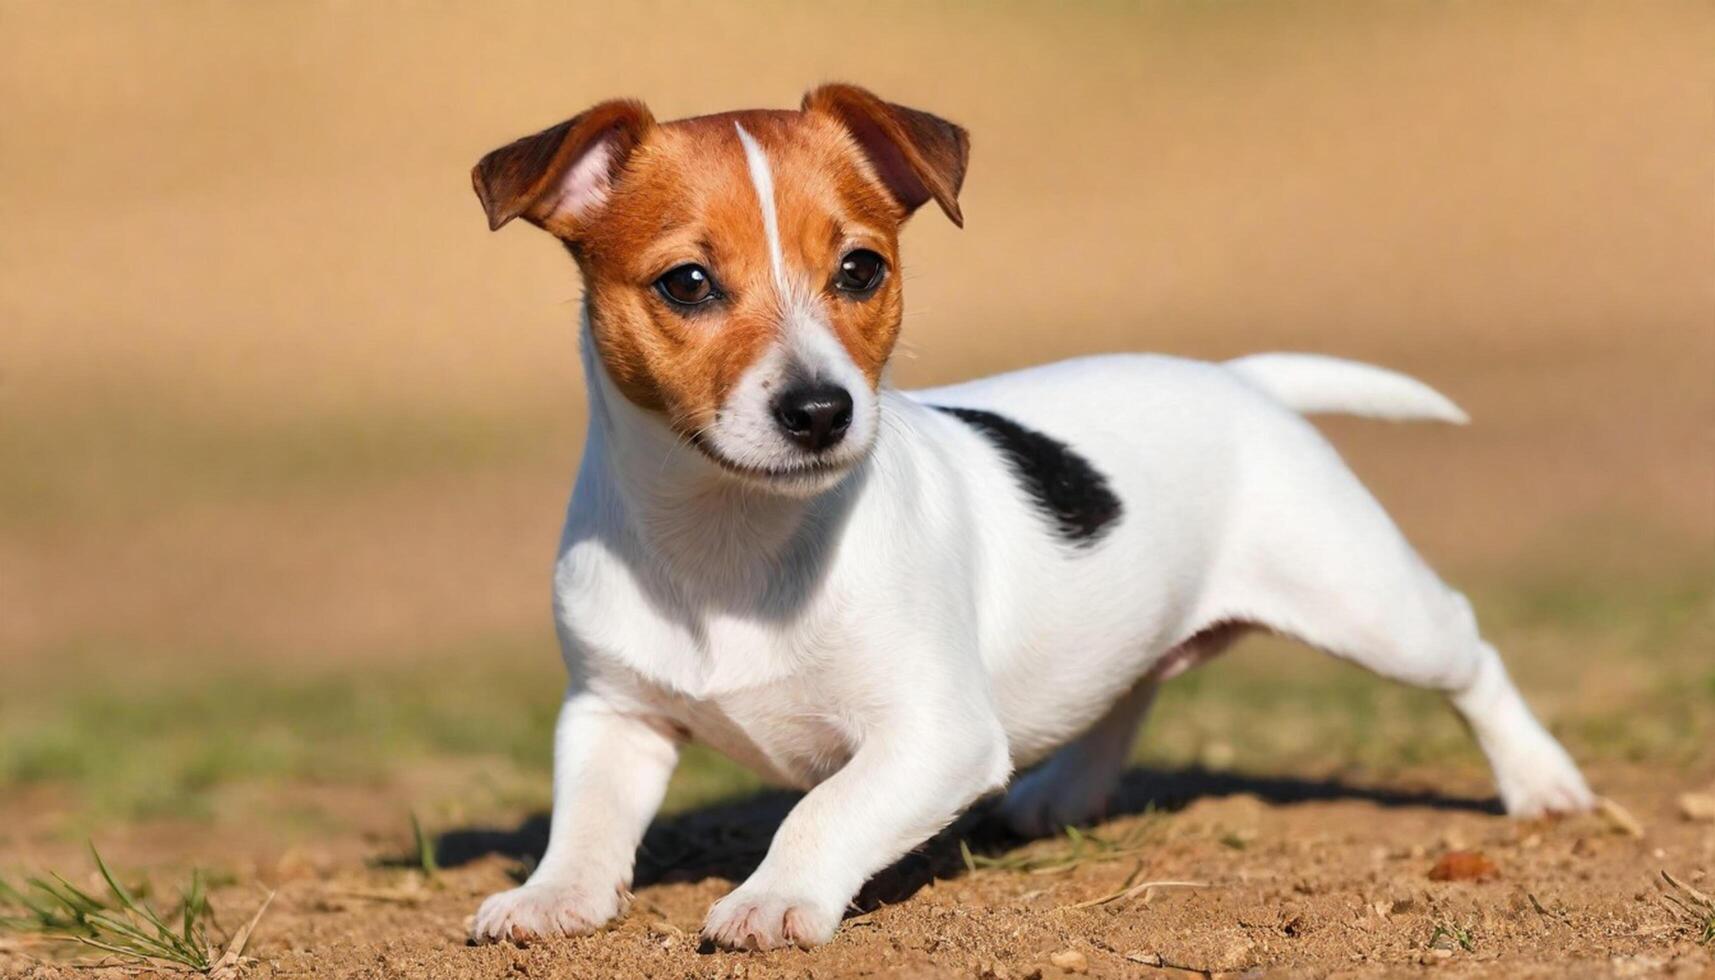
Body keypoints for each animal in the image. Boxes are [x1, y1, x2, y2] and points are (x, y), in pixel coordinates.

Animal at [459, 82, 1591, 954]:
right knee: (1133, 679)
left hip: (1370, 605)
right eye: (686, 283)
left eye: (860, 268)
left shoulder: (935, 734)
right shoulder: (611, 711)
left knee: (1469, 651)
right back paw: (1063, 791)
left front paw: (774, 897)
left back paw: (1542, 783)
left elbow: (825, 806)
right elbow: (587, 817)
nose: (822, 410)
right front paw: (551, 896)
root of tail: (1240, 381)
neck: (729, 538)